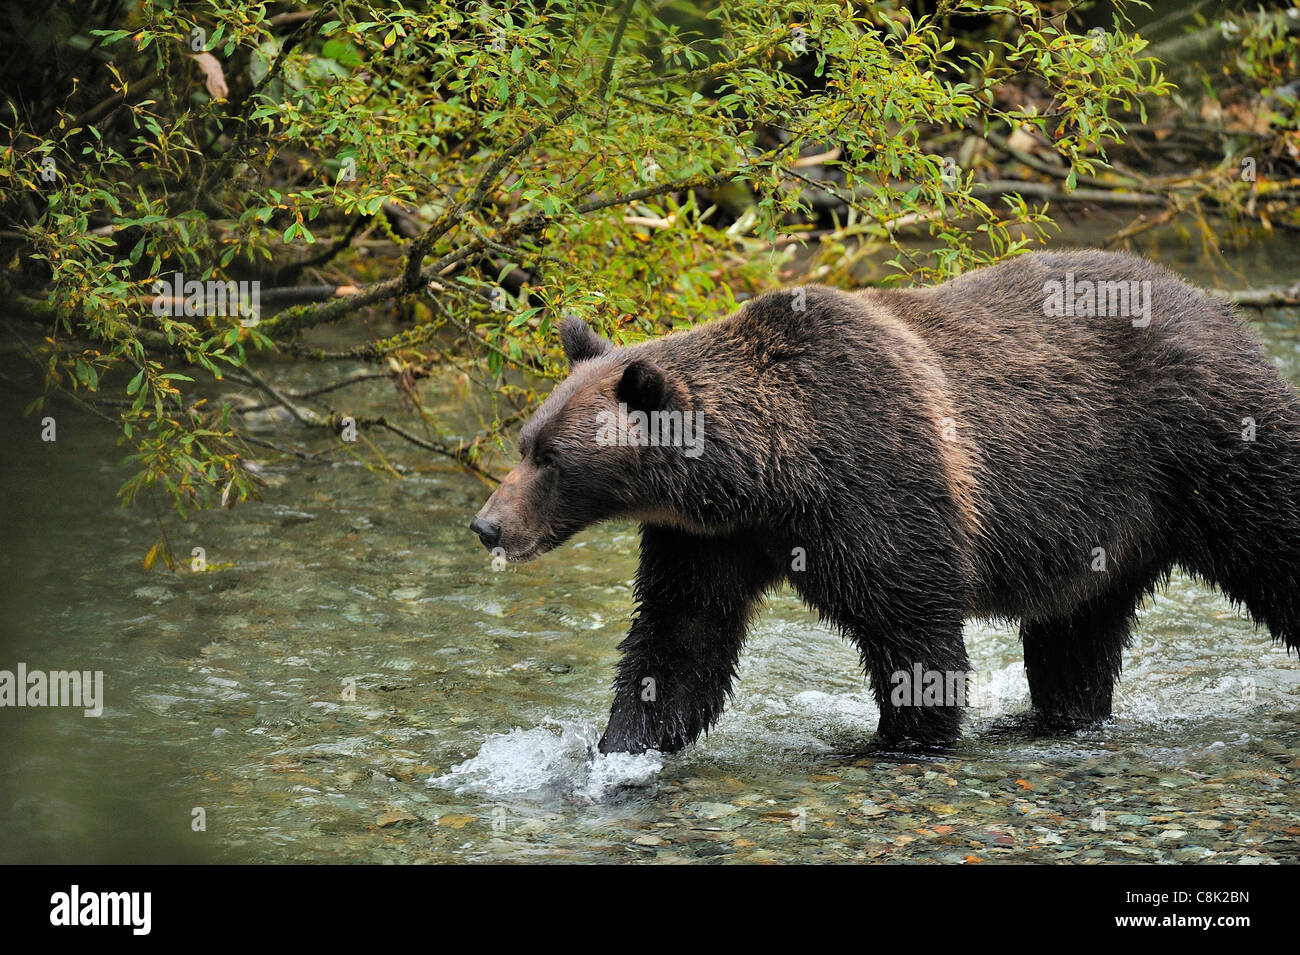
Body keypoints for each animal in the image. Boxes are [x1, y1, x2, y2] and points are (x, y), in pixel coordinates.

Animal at [467, 250, 1300, 758]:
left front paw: (903, 735)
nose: (486, 525)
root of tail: (1218, 305)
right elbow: (679, 642)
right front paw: (617, 748)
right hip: (1105, 532)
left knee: (1275, 541)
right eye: (524, 440)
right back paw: (1059, 716)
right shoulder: (709, 539)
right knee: (1076, 636)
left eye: (551, 458)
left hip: (1207, 442)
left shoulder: (881, 485)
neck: (771, 475)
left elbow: (915, 631)